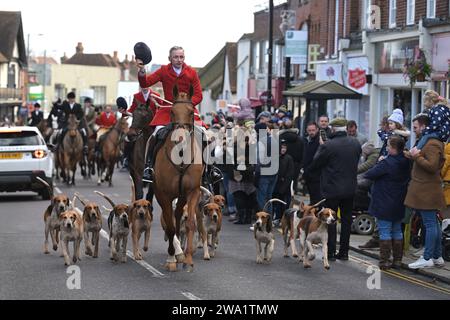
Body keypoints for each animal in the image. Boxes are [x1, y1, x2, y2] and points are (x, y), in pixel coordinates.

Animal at [154, 85, 205, 272]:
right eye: (172, 112)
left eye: (191, 112)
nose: (180, 139)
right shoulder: (164, 195)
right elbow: (168, 226)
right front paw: (171, 258)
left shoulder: (193, 192)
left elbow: (190, 223)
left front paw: (188, 258)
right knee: (170, 219)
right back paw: (174, 253)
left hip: (182, 196)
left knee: (177, 216)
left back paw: (180, 253)